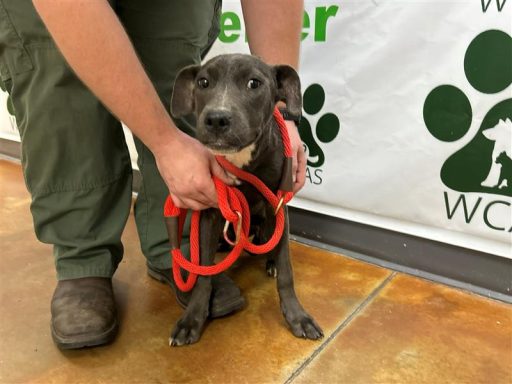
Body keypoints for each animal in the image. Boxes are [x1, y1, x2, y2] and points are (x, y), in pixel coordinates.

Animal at [170, 53, 322, 344]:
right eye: (203, 82)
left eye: (254, 83)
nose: (217, 119)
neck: (241, 160)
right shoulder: (210, 212)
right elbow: (203, 274)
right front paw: (192, 319)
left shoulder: (278, 205)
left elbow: (287, 270)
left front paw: (298, 317)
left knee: (274, 244)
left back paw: (270, 261)